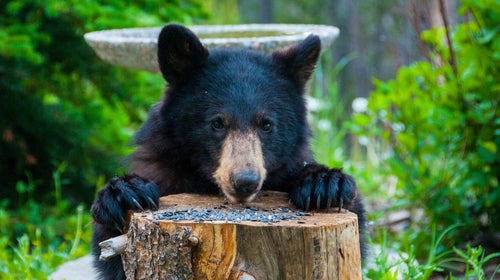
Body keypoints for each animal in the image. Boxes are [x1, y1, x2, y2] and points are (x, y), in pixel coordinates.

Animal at [92, 24, 368, 280]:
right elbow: (110, 256)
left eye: (266, 124)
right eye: (217, 122)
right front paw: (124, 194)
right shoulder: (164, 170)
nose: (245, 181)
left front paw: (325, 184)